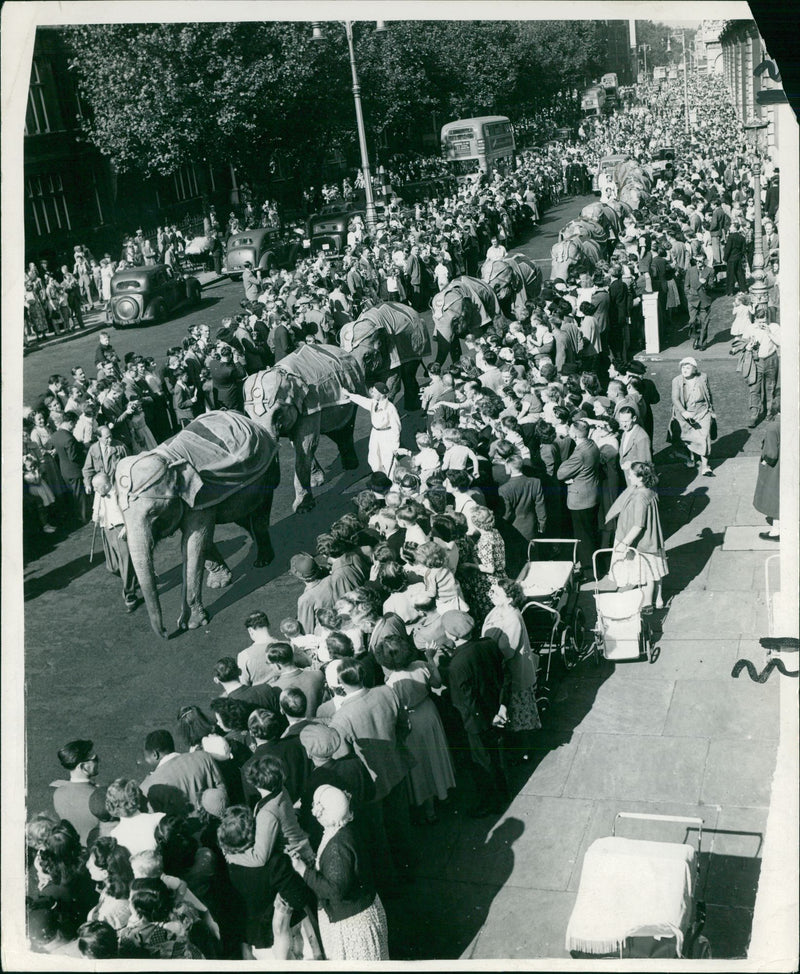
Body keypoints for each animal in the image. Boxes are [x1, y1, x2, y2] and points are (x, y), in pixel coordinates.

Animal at [115, 412, 282, 640]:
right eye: (121, 513)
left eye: (153, 513)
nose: (168, 632)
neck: (170, 459)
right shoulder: (194, 501)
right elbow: (201, 539)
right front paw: (219, 583)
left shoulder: (200, 496)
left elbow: (192, 544)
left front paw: (194, 624)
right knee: (241, 516)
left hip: (266, 474)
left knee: (259, 513)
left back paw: (263, 561)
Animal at [242, 342, 364, 510]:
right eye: (248, 415)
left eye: (278, 414)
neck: (283, 372)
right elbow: (299, 444)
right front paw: (316, 482)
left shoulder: (310, 404)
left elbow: (306, 444)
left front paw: (303, 508)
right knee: (334, 430)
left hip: (356, 388)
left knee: (346, 426)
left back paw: (351, 466)